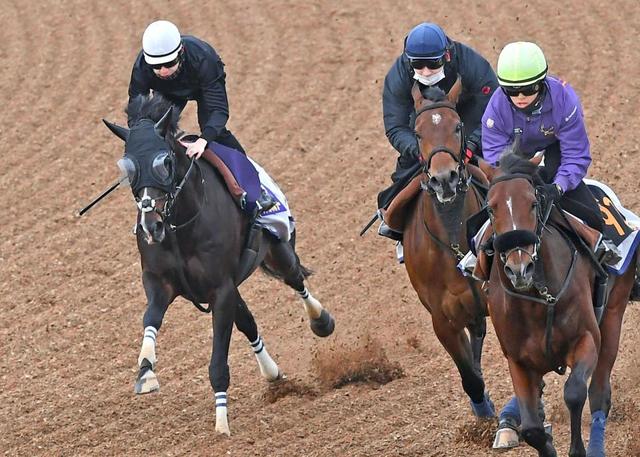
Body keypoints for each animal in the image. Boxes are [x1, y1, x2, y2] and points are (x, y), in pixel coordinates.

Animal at [104, 93, 336, 434]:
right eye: (129, 167)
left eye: (165, 162)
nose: (151, 226)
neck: (182, 225)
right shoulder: (161, 283)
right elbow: (151, 319)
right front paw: (146, 372)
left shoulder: (221, 289)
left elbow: (217, 362)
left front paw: (222, 425)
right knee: (249, 322)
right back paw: (273, 373)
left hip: (276, 250)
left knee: (295, 278)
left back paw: (321, 320)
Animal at [400, 82, 496, 416]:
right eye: (418, 133)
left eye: (457, 126)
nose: (444, 179)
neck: (454, 239)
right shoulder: (442, 321)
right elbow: (470, 376)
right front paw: (483, 410)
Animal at [480, 148, 636, 454]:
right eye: (491, 208)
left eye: (532, 203)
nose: (519, 268)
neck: (537, 300)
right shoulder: (518, 361)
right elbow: (531, 428)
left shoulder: (587, 338)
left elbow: (575, 393)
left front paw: (578, 450)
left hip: (613, 314)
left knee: (599, 393)